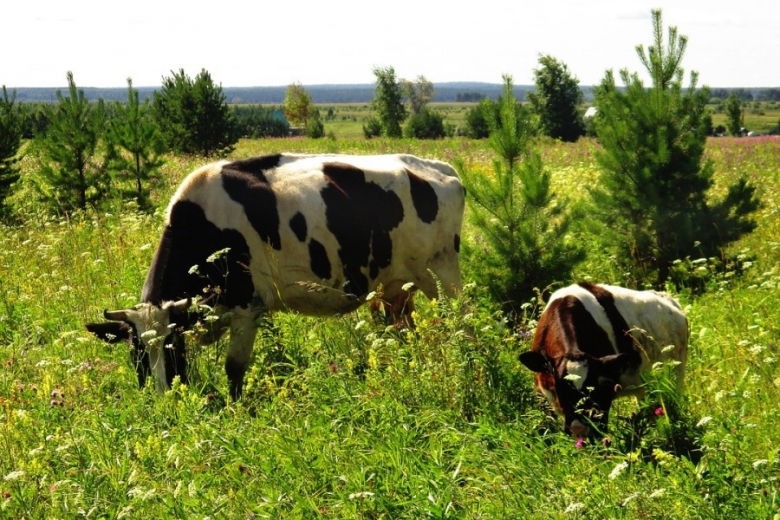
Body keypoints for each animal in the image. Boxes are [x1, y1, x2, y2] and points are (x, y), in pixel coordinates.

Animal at [87, 153, 464, 398]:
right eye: (135, 353)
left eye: (172, 347)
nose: (163, 397)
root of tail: (441, 168)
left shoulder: (247, 307)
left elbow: (234, 368)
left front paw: (235, 410)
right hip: (397, 286)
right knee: (403, 331)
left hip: (442, 273)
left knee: (465, 325)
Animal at [520, 284, 684, 438]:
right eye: (560, 387)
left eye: (593, 387)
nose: (579, 429)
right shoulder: (543, 390)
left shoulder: (605, 393)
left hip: (677, 373)